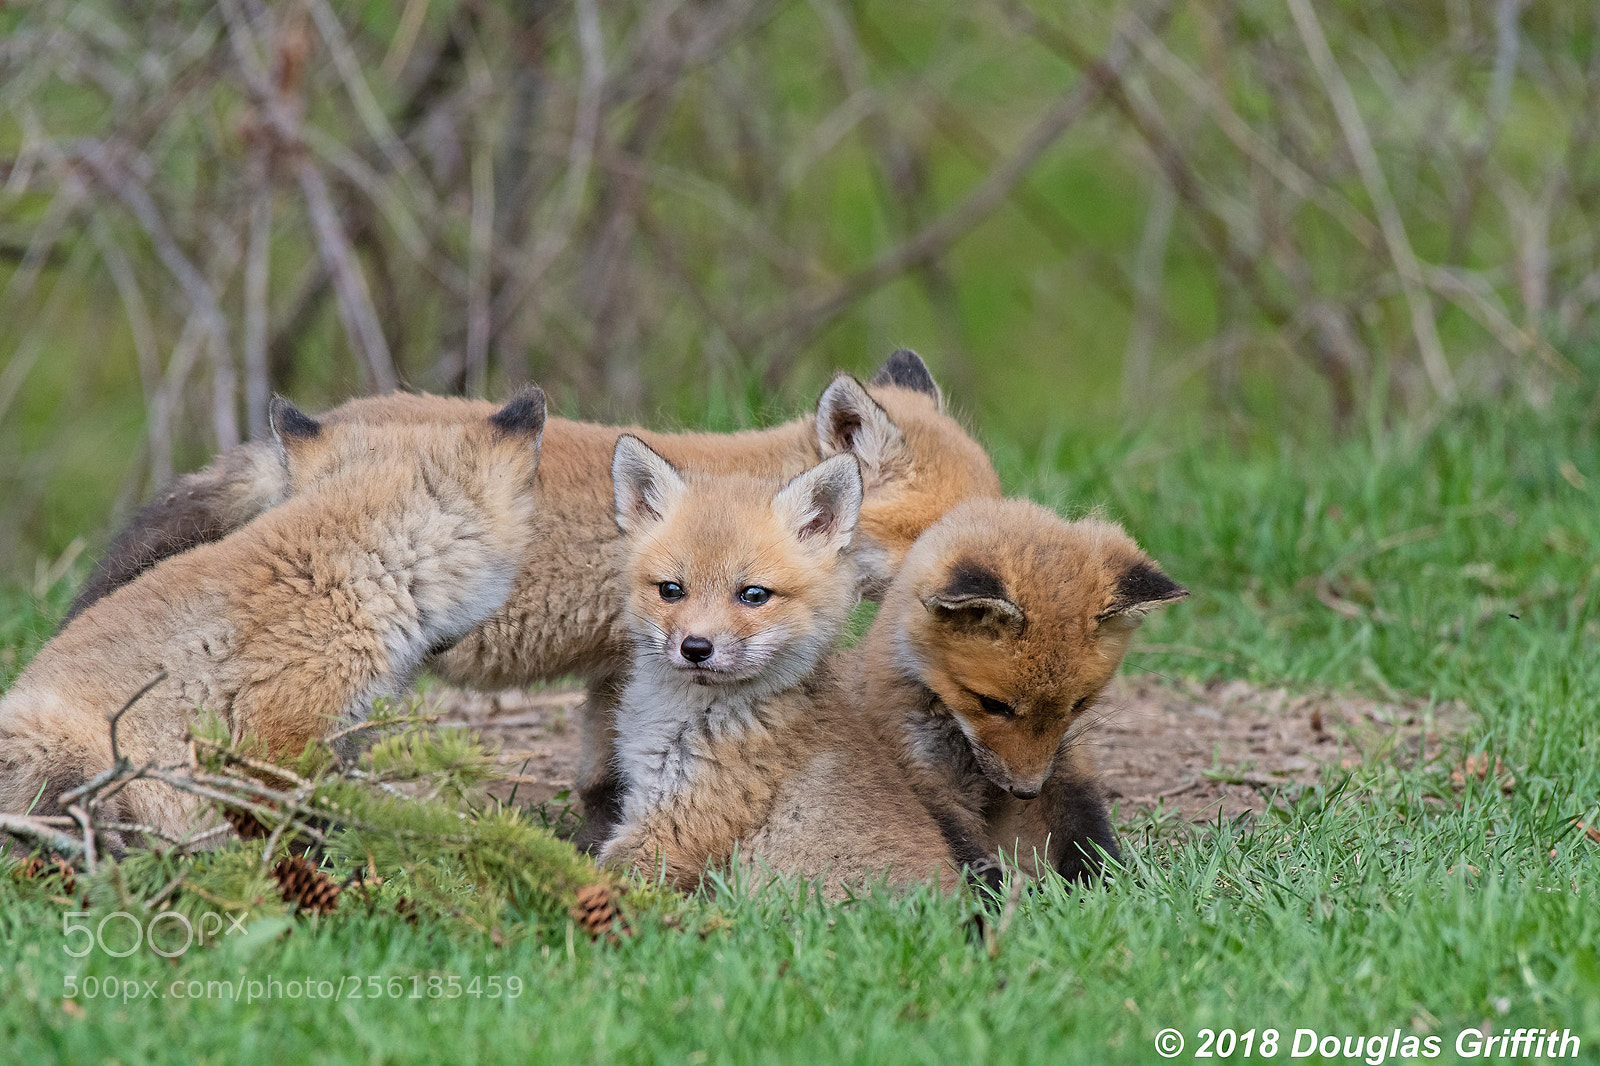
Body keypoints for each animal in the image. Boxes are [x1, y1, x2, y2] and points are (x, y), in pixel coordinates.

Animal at [61, 349, 1001, 848]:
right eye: (942, 538)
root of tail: (311, 434)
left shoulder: (616, 668)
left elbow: (600, 774)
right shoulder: (633, 655)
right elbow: (610, 776)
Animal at [857, 498, 1188, 882]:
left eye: (1078, 704)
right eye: (991, 703)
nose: (1026, 791)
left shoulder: (1066, 762)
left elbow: (1086, 827)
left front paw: (1101, 882)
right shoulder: (925, 773)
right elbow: (968, 854)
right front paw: (1003, 895)